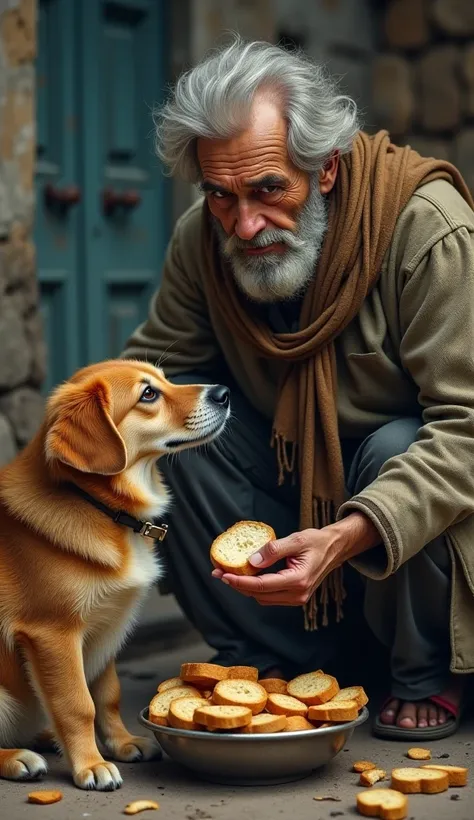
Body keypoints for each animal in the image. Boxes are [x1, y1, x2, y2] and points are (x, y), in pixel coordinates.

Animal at [0, 358, 230, 788]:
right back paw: (17, 756)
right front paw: (90, 764)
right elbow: (77, 703)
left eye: (163, 380)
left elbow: (107, 696)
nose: (224, 393)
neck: (102, 508)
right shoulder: (52, 634)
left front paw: (121, 744)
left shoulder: (104, 629)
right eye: (148, 394)